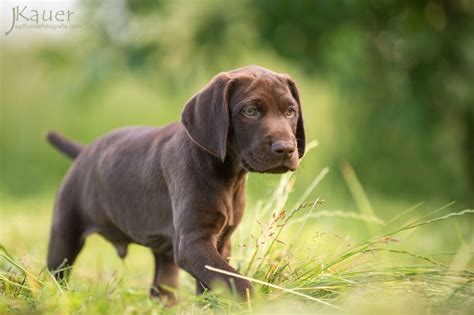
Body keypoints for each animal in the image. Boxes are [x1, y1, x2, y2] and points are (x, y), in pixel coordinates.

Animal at [46, 65, 306, 302]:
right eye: (250, 111)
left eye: (290, 111)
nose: (285, 148)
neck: (228, 174)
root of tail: (84, 151)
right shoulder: (193, 242)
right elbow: (236, 281)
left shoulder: (220, 241)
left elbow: (215, 283)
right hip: (65, 232)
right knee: (56, 273)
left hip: (164, 248)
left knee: (162, 283)